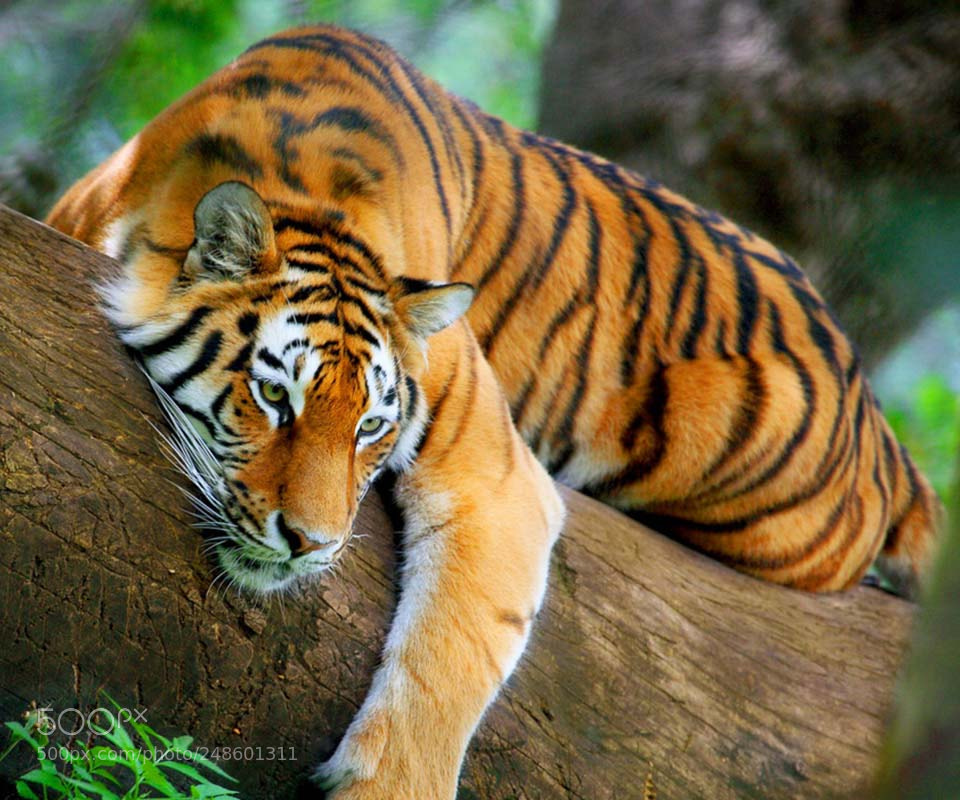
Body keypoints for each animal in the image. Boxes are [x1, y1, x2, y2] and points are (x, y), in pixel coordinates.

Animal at [46, 24, 940, 800]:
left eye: (371, 426)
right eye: (274, 398)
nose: (312, 545)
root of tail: (876, 415)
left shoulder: (498, 477)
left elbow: (451, 654)